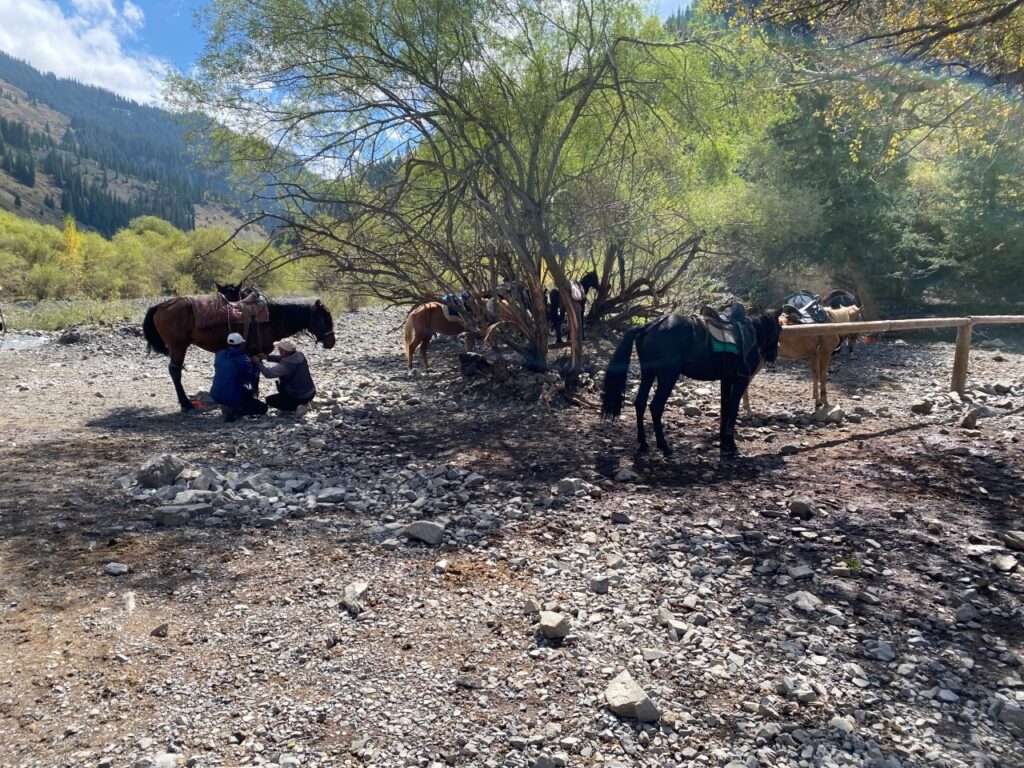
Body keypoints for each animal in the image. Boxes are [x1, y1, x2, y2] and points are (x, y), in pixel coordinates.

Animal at [143, 297, 336, 411]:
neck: (274, 319)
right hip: (178, 347)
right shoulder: (256, 352)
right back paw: (186, 404)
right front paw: (254, 394)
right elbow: (255, 373)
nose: (331, 342)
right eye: (324, 319)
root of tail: (161, 306)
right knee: (175, 372)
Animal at [602, 307, 783, 457]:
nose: (774, 356)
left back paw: (644, 443)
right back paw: (664, 446)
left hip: (648, 374)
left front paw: (724, 442)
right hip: (668, 376)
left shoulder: (726, 380)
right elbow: (732, 409)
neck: (753, 333)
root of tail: (649, 326)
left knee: (640, 402)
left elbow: (724, 409)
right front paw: (732, 446)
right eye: (780, 329)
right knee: (656, 406)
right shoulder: (740, 380)